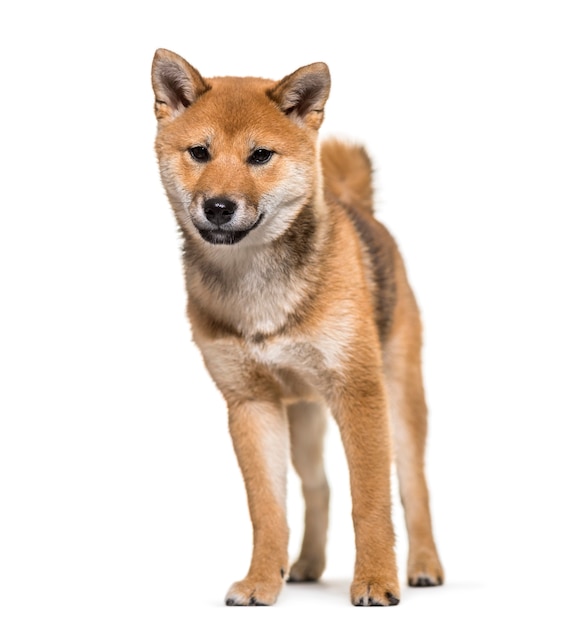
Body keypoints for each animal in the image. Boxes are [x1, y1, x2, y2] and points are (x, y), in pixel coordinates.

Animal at [151, 48, 446, 604]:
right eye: (199, 152)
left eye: (260, 156)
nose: (218, 206)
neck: (259, 288)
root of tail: (361, 211)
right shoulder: (251, 404)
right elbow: (268, 511)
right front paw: (262, 581)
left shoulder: (359, 393)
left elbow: (371, 501)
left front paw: (376, 580)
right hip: (304, 417)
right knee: (319, 487)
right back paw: (306, 564)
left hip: (399, 402)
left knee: (414, 489)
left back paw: (423, 566)